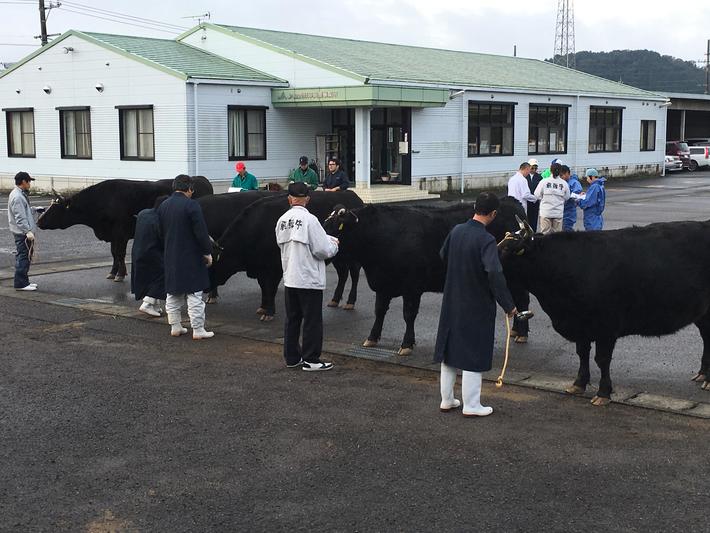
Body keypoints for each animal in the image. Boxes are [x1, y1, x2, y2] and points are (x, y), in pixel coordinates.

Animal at [37, 177, 213, 280]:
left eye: (55, 209)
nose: (39, 221)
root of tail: (201, 179)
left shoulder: (120, 233)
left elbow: (119, 253)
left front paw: (120, 274)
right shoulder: (113, 235)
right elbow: (114, 253)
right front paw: (113, 272)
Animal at [213, 189, 364, 318]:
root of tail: (352, 195)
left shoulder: (275, 268)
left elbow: (271, 288)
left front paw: (269, 312)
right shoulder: (261, 269)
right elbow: (263, 287)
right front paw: (263, 307)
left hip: (353, 256)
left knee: (354, 274)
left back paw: (350, 301)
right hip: (339, 257)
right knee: (343, 274)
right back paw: (335, 299)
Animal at [326, 195, 524, 354]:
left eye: (334, 228)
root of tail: (509, 201)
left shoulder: (412, 287)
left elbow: (409, 314)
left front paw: (407, 344)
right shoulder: (383, 284)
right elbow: (379, 311)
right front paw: (372, 337)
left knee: (521, 299)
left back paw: (521, 333)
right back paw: (516, 330)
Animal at [500, 217, 710, 404]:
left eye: (509, 250)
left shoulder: (606, 326)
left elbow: (602, 359)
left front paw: (603, 393)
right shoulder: (581, 325)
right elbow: (582, 354)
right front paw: (578, 384)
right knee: (706, 338)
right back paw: (703, 374)